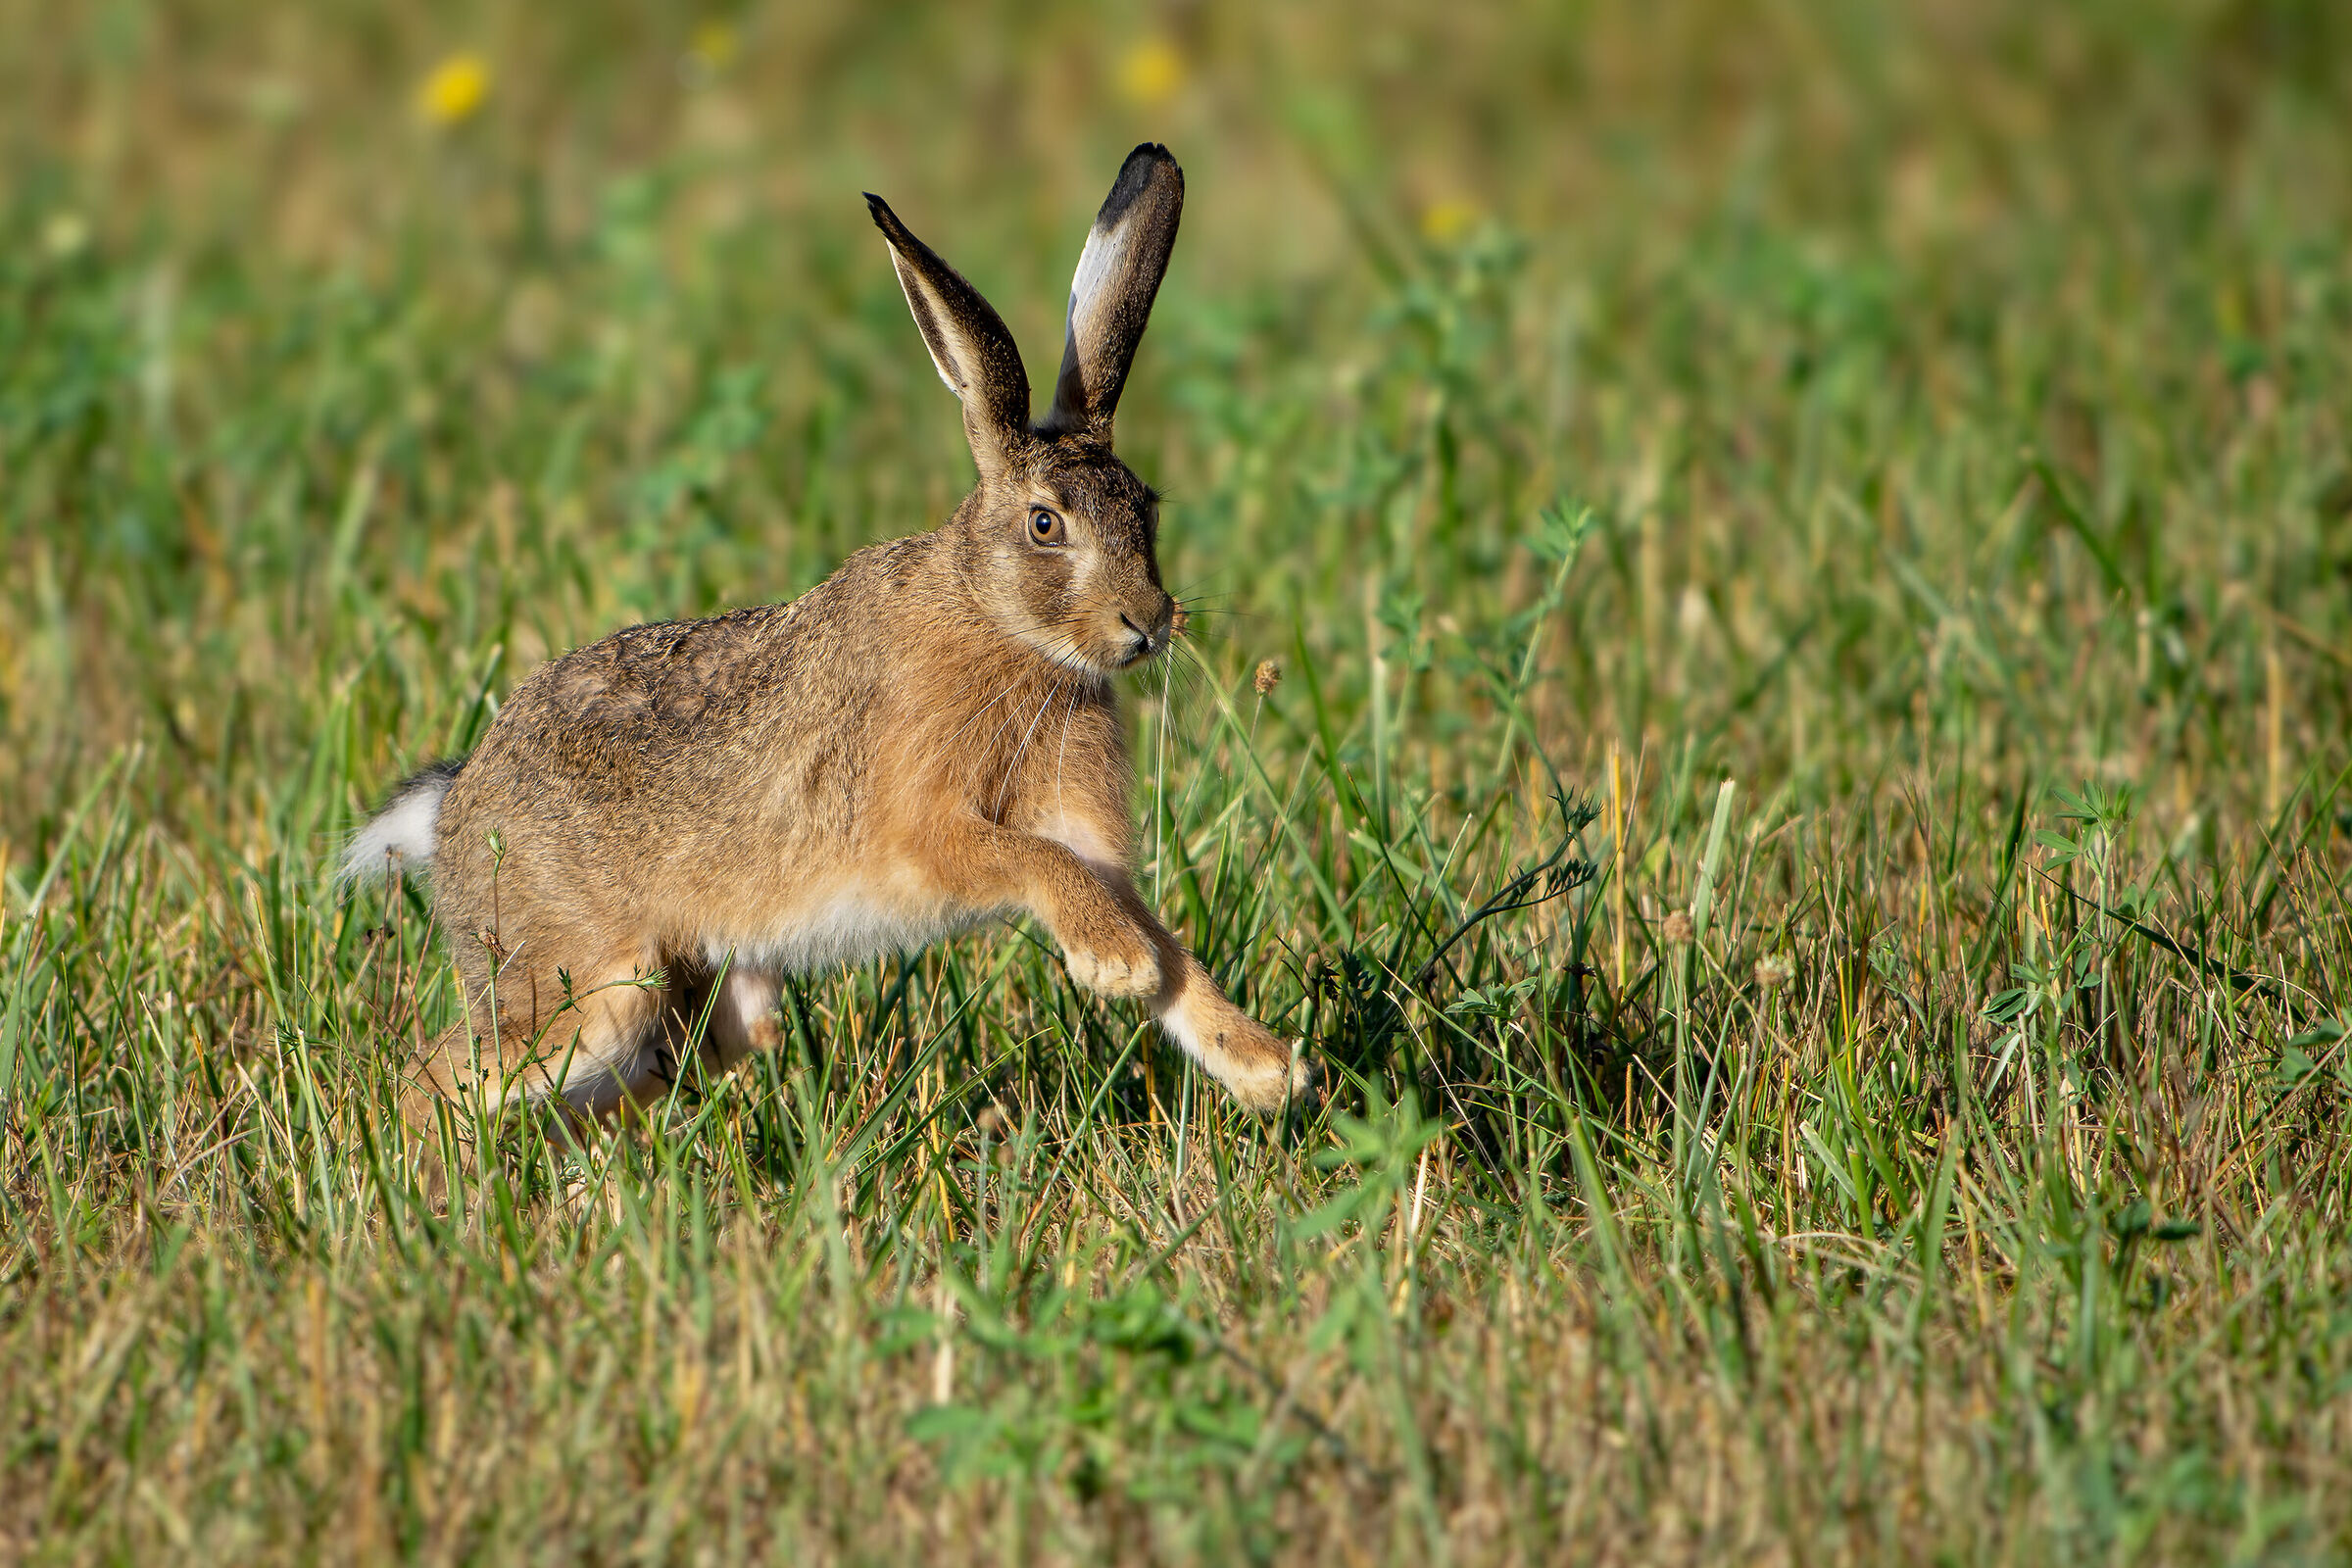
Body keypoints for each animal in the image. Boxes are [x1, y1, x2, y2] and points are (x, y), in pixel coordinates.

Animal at [343, 144, 1311, 1122]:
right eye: (1046, 525)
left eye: (1145, 507)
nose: (1147, 623)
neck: (996, 620)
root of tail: (457, 810)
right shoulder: (931, 834)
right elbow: (1033, 862)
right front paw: (1116, 965)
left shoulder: (1092, 848)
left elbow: (1171, 952)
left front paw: (1264, 1065)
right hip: (590, 989)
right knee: (441, 1078)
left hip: (693, 1001)